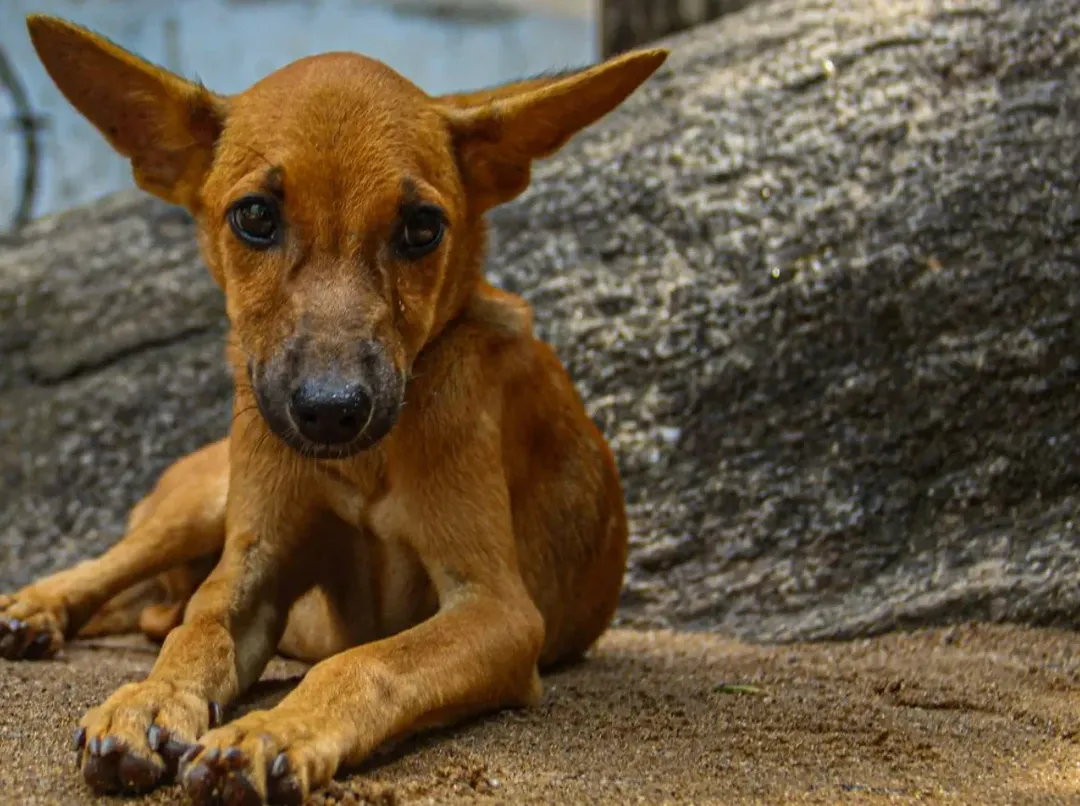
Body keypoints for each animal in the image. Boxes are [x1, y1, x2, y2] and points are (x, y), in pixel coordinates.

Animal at [2, 14, 665, 803]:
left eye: (422, 227)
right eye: (255, 216)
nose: (329, 411)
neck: (364, 467)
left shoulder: (498, 608)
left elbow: (365, 661)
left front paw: (273, 731)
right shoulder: (254, 560)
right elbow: (200, 627)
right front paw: (148, 701)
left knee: (158, 610)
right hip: (204, 502)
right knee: (120, 575)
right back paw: (32, 609)